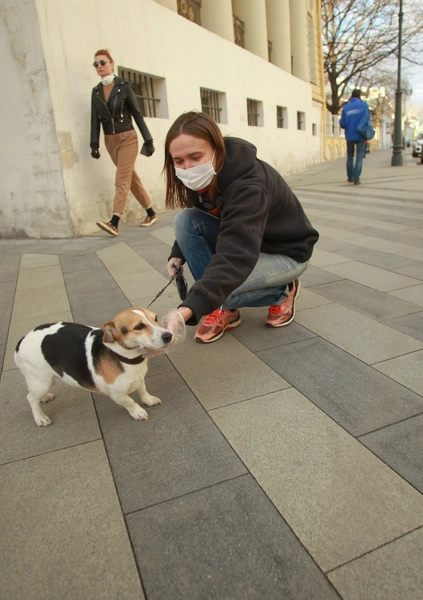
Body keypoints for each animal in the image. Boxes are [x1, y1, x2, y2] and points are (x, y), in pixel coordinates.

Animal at [13, 310, 172, 426]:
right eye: (139, 326)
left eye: (155, 318)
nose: (168, 335)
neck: (124, 356)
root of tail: (22, 339)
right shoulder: (117, 394)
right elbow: (129, 402)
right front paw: (137, 411)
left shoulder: (139, 379)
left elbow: (142, 390)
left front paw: (148, 400)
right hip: (40, 382)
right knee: (31, 398)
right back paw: (40, 418)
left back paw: (45, 397)